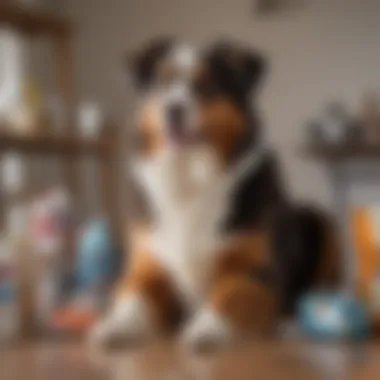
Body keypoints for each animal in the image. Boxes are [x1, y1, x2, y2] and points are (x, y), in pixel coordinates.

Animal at [90, 38, 342, 350]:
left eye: (206, 86)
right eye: (162, 84)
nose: (172, 109)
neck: (190, 179)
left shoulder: (257, 269)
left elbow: (230, 293)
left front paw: (208, 328)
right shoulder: (147, 266)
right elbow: (131, 298)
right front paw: (114, 326)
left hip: (323, 223)